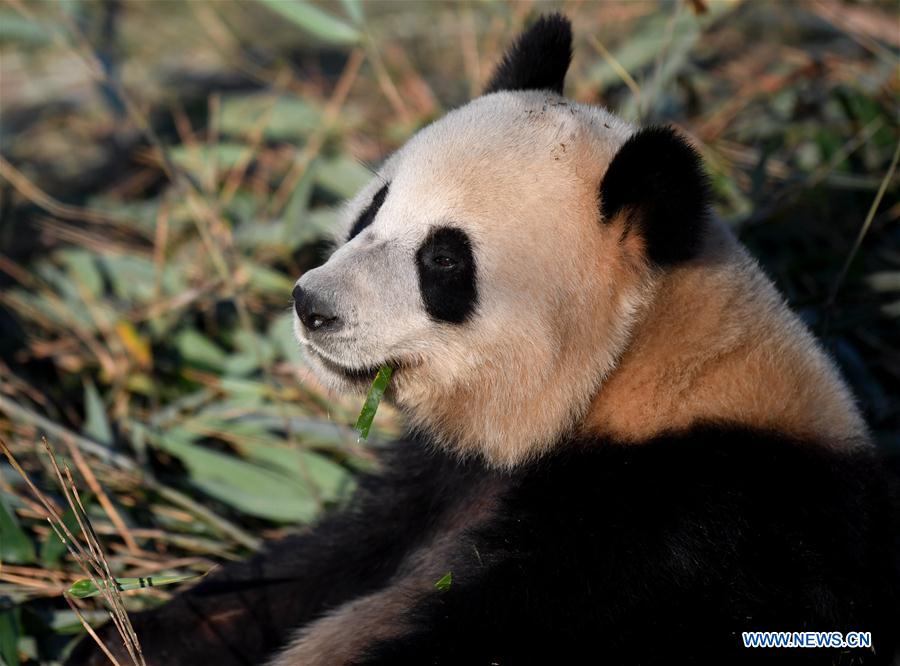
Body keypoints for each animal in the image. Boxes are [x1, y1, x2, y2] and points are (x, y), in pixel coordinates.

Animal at [72, 15, 900, 664]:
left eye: (444, 261)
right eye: (372, 208)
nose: (312, 306)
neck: (641, 371)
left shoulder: (686, 528)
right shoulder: (444, 482)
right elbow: (316, 566)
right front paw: (122, 636)